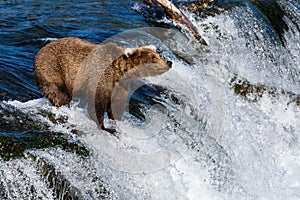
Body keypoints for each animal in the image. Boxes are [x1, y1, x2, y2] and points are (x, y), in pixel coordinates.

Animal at [33, 36, 171, 134]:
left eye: (158, 55)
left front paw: (115, 123)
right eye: (153, 57)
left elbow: (117, 104)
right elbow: (97, 102)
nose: (169, 62)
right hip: (52, 68)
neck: (120, 72)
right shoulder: (101, 77)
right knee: (58, 93)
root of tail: (40, 51)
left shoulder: (120, 86)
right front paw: (106, 127)